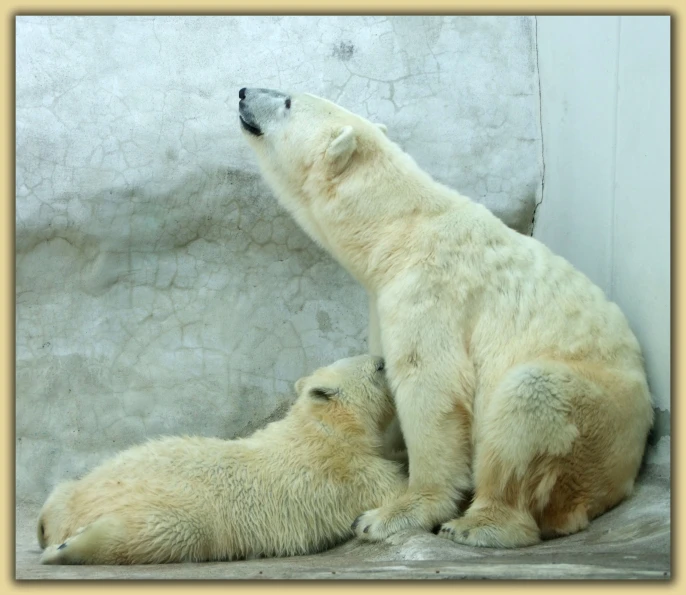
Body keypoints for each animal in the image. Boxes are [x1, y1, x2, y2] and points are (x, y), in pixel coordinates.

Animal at [36, 356, 408, 564]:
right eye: (378, 365)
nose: (385, 357)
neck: (326, 430)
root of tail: (73, 513)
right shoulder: (350, 473)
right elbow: (394, 489)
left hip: (119, 464)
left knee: (65, 491)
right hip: (185, 507)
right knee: (167, 531)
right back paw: (64, 549)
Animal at [241, 86, 656, 548]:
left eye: (288, 100)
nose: (243, 92)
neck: (398, 231)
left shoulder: (430, 290)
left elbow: (431, 385)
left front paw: (390, 514)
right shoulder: (382, 299)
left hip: (597, 415)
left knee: (530, 396)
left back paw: (479, 523)